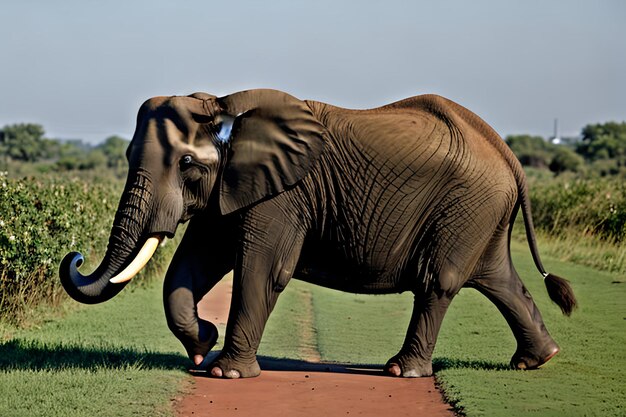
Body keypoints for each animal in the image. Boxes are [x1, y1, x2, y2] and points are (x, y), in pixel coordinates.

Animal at [59, 88, 576, 376]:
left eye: (186, 163)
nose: (76, 256)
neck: (223, 105)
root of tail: (506, 152)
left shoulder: (284, 194)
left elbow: (261, 270)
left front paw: (224, 373)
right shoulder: (232, 188)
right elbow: (193, 265)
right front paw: (202, 345)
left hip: (466, 207)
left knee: (438, 281)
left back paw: (402, 371)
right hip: (480, 214)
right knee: (499, 279)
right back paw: (537, 360)